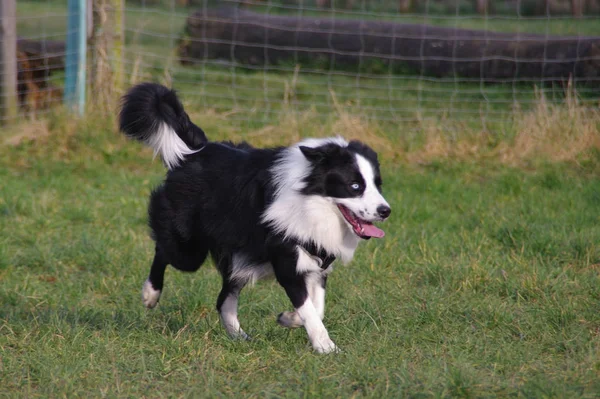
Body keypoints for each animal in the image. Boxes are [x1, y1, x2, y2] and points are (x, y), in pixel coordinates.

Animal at [118, 82, 392, 354]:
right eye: (354, 186)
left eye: (378, 184)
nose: (385, 211)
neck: (312, 199)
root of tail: (195, 151)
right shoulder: (287, 263)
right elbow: (309, 309)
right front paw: (325, 346)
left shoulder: (318, 260)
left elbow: (317, 306)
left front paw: (288, 318)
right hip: (188, 248)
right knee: (163, 250)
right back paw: (150, 294)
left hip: (235, 256)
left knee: (223, 298)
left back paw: (239, 337)